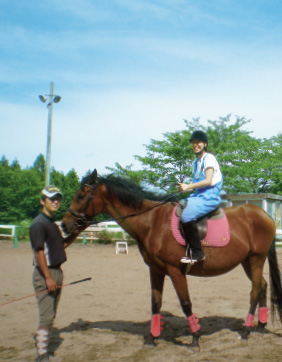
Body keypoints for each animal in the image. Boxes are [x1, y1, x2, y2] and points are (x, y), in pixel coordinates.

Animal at [61, 170, 282, 348]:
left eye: (80, 195)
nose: (64, 225)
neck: (153, 222)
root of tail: (264, 215)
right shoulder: (156, 270)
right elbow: (155, 303)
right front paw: (152, 338)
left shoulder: (175, 271)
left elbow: (185, 303)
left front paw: (195, 338)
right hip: (247, 262)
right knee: (262, 286)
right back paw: (260, 326)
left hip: (256, 259)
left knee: (254, 291)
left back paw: (245, 331)